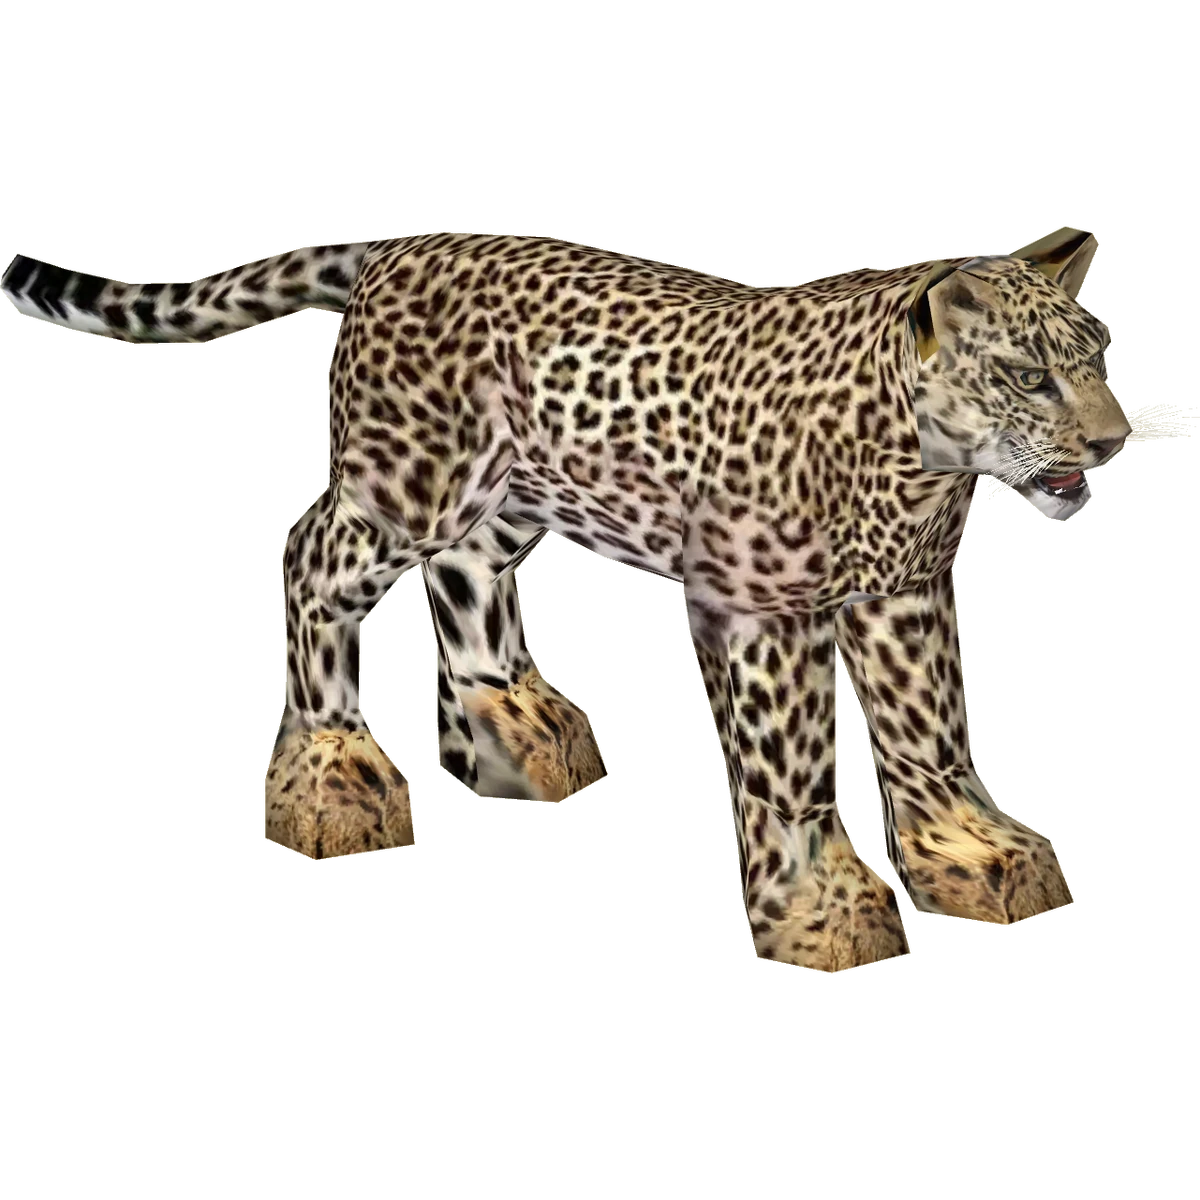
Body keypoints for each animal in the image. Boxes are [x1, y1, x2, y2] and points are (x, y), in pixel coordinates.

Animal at [1, 227, 1126, 969]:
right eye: (1027, 375)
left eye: (1100, 358)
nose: (1114, 439)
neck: (917, 459)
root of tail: (395, 244)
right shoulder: (757, 609)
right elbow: (792, 768)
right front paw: (823, 908)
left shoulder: (904, 594)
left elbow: (929, 732)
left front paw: (973, 853)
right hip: (411, 480)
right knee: (311, 556)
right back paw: (328, 774)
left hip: (515, 491)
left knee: (465, 576)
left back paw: (511, 732)